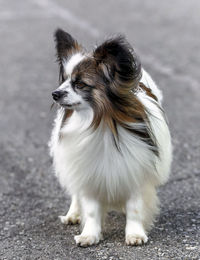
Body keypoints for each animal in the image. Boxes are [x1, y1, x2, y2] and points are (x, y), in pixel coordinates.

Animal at [48, 28, 172, 246]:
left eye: (80, 84)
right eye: (64, 80)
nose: (55, 93)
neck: (100, 123)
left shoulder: (134, 170)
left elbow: (135, 208)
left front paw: (135, 234)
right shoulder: (89, 174)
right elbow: (90, 209)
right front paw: (89, 235)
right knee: (75, 193)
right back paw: (73, 214)